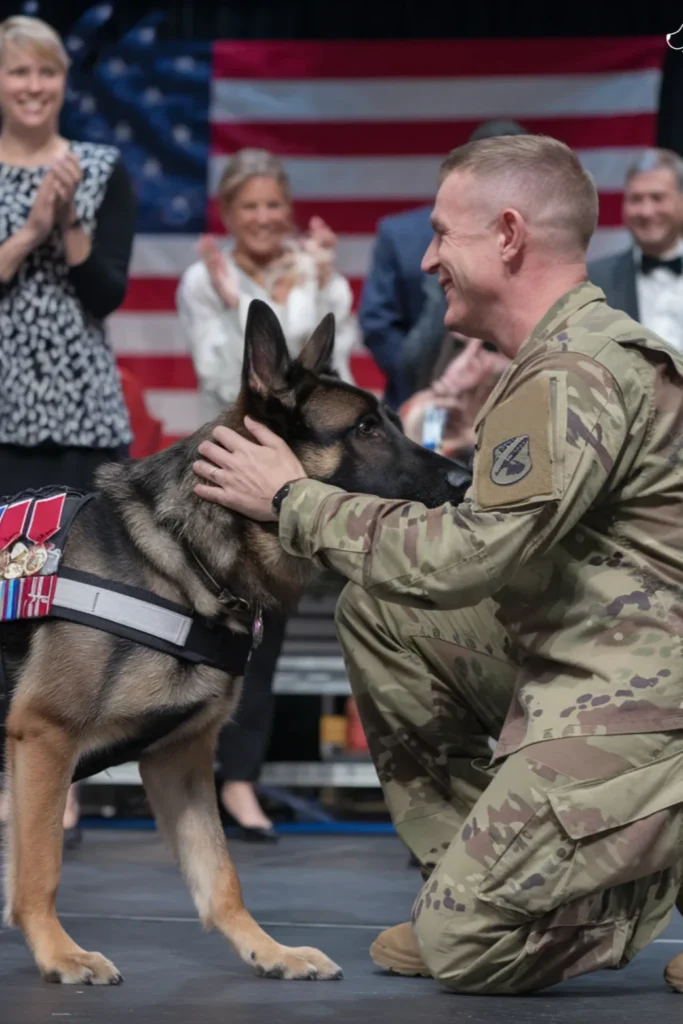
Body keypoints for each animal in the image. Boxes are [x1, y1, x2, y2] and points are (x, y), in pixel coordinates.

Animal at [0, 299, 471, 983]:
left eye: (390, 420)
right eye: (365, 429)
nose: (466, 477)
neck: (184, 556)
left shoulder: (180, 759)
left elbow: (221, 878)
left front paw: (268, 950)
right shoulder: (44, 738)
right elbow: (41, 868)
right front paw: (59, 953)